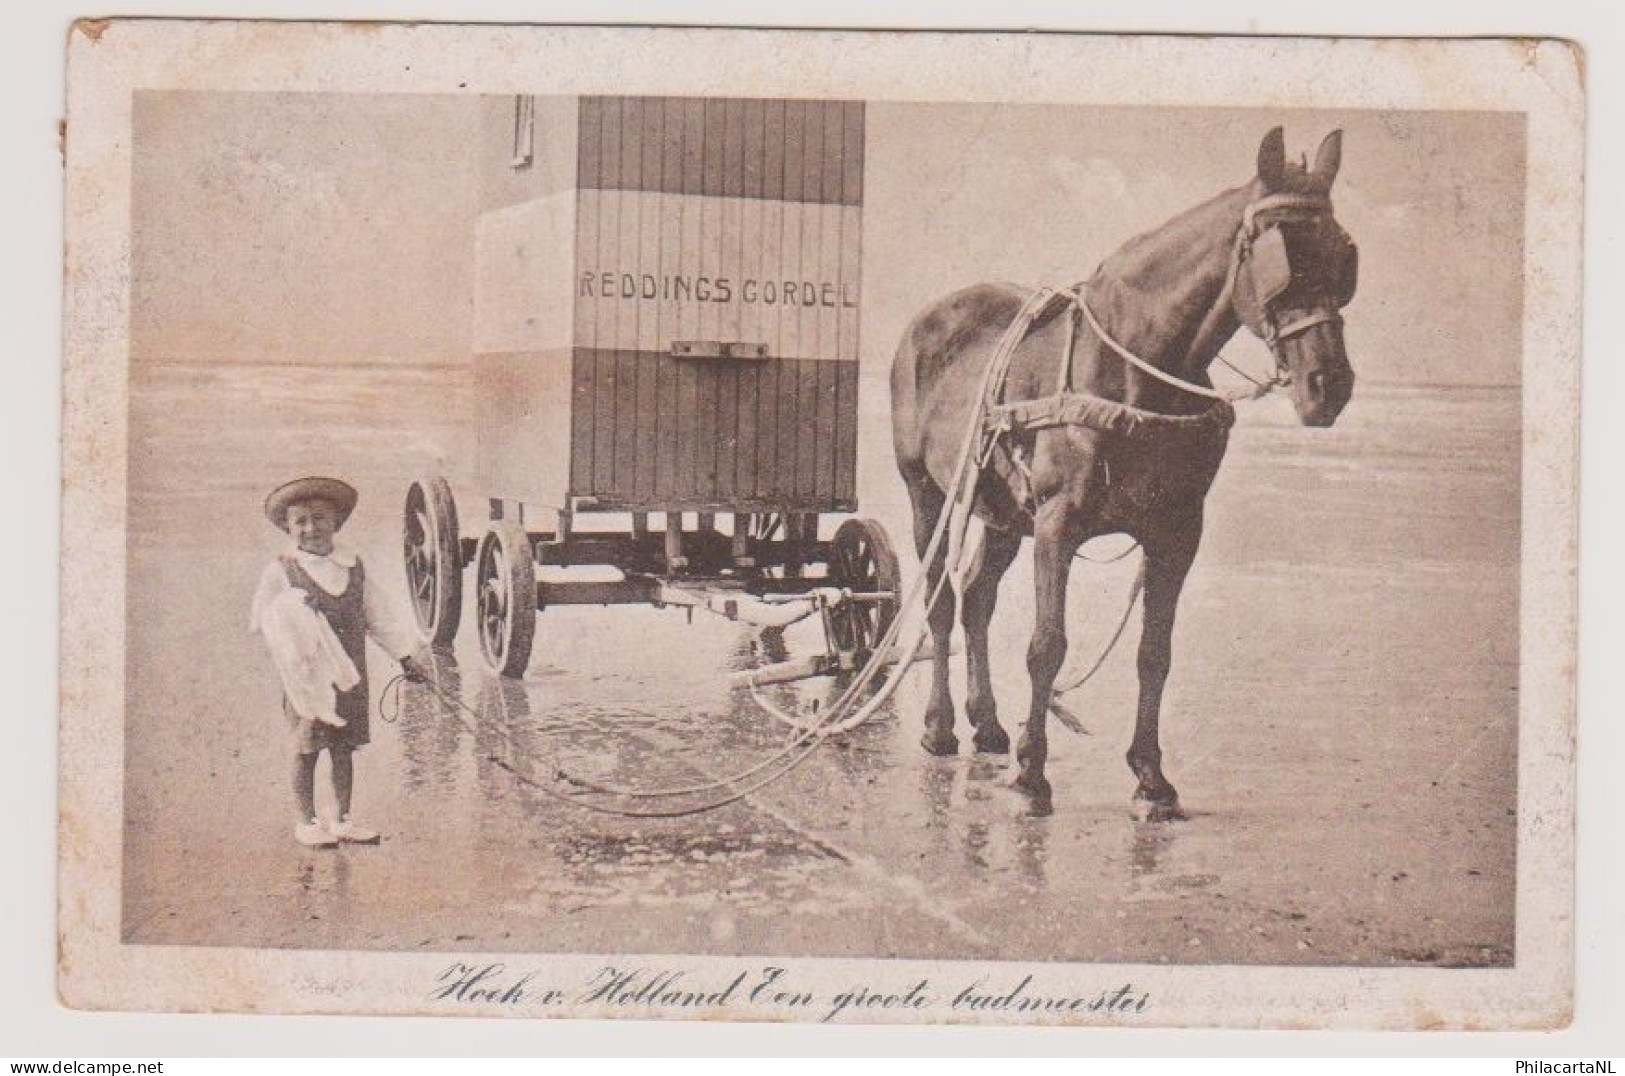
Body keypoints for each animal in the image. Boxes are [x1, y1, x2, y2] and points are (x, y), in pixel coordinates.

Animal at [890, 126, 1358, 819]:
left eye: (1343, 255)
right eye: (1285, 257)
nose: (1329, 386)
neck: (1137, 368)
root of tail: (927, 321)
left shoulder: (1177, 533)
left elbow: (1153, 654)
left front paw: (1151, 778)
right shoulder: (1056, 526)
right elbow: (1047, 647)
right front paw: (1032, 774)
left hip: (1001, 513)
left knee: (976, 598)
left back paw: (989, 724)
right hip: (929, 496)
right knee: (943, 603)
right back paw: (941, 726)